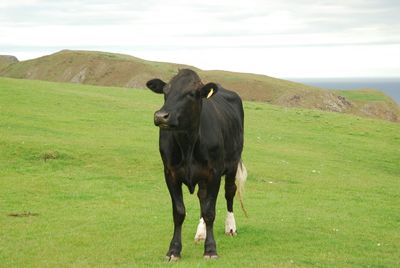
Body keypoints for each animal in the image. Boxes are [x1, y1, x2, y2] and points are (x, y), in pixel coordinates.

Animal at [146, 68, 247, 260]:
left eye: (191, 93)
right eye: (165, 91)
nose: (161, 116)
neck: (188, 143)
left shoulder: (214, 172)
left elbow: (210, 212)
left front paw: (211, 249)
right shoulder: (170, 173)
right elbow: (179, 212)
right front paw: (174, 250)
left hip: (232, 163)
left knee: (229, 192)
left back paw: (230, 227)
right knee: (202, 196)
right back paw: (201, 233)